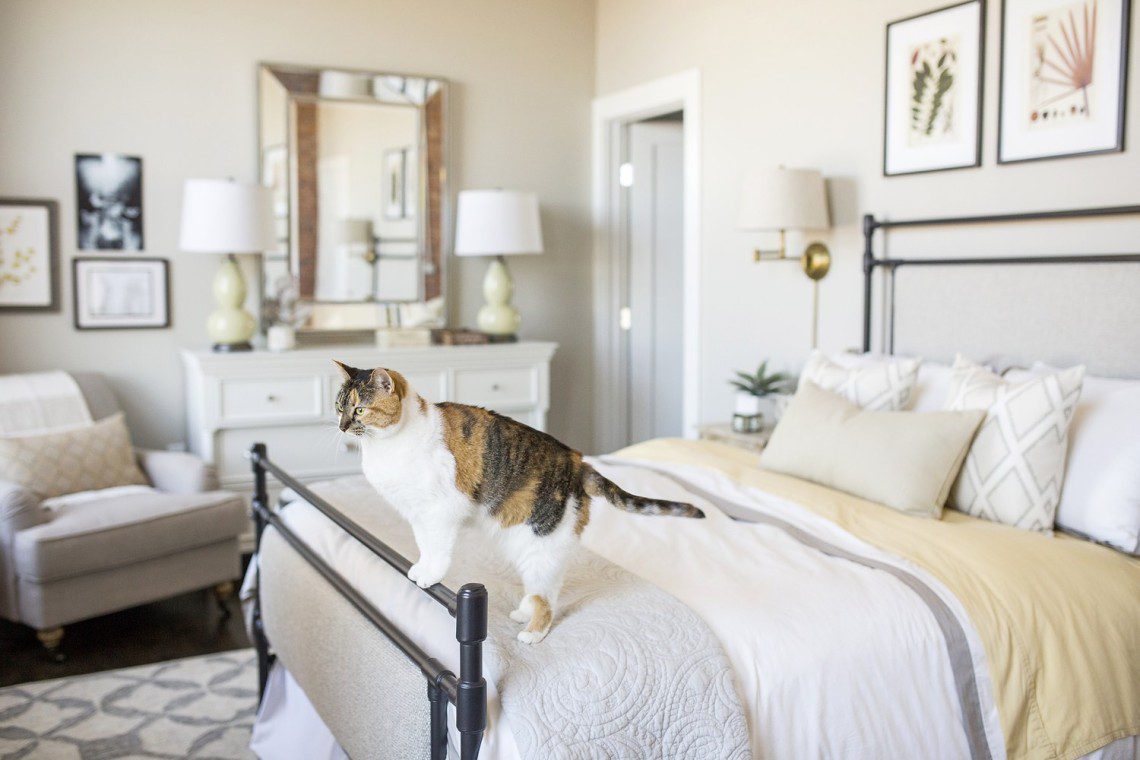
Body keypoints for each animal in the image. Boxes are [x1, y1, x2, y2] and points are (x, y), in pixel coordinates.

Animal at [332, 362, 697, 642]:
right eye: (339, 407)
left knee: (547, 598)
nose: (342, 426)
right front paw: (420, 567)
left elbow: (437, 550)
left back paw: (532, 633)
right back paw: (524, 611)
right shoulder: (418, 516)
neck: (387, 447)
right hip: (528, 546)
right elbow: (424, 546)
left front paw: (430, 575)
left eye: (360, 409)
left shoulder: (440, 512)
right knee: (546, 588)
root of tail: (579, 462)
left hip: (540, 544)